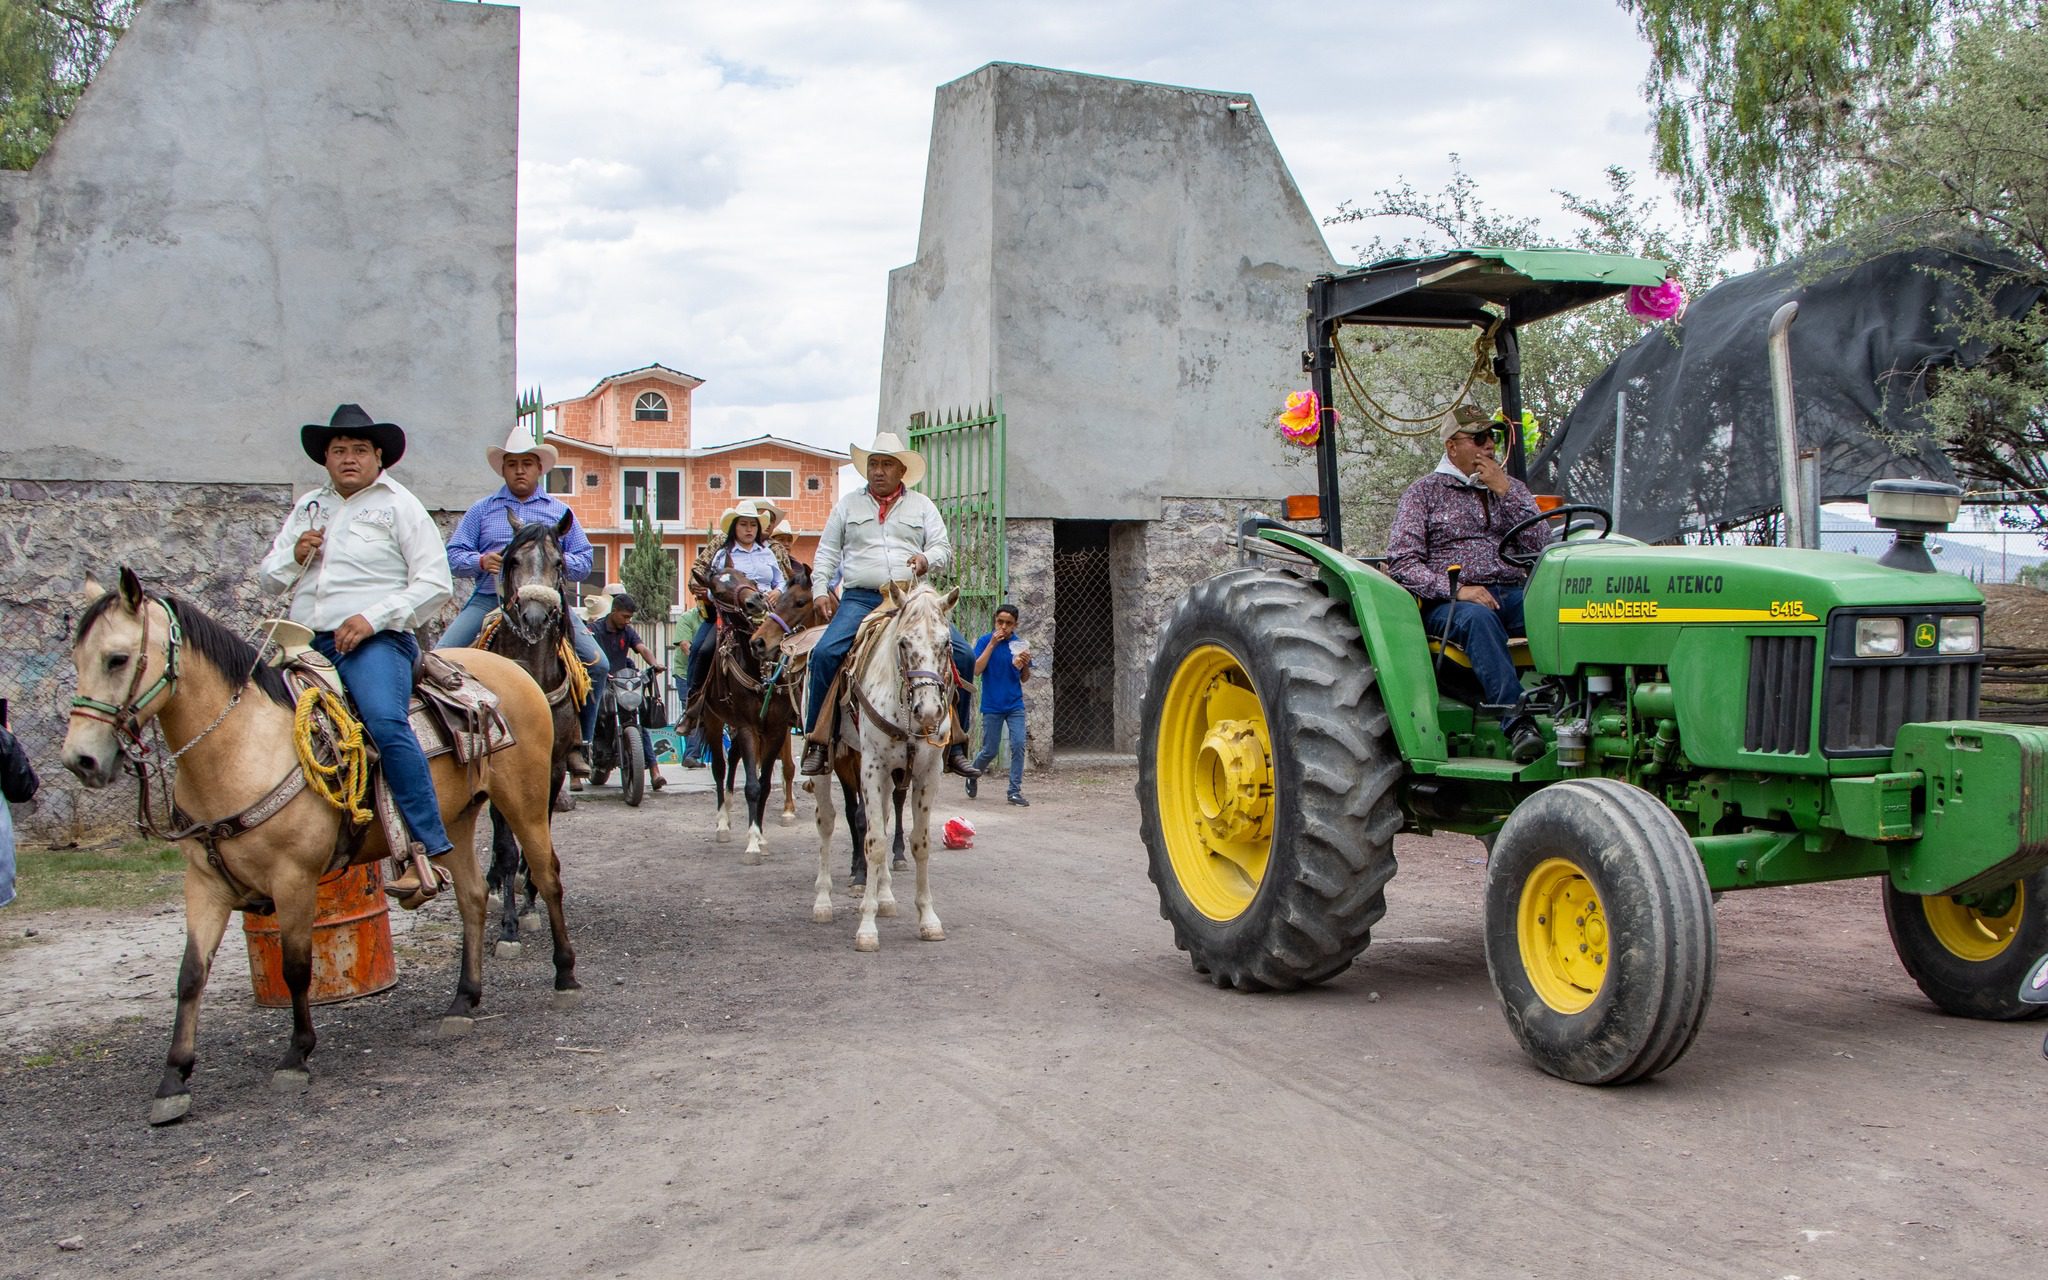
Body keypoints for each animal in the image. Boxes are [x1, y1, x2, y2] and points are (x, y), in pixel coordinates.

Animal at [61, 565, 577, 1122]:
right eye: (77, 658)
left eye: (117, 658)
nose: (81, 761)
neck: (242, 748)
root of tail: (512, 671)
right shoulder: (204, 883)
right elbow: (191, 973)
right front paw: (173, 1079)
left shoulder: (294, 877)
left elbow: (296, 966)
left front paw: (296, 1053)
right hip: (455, 819)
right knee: (473, 899)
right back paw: (463, 1000)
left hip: (525, 801)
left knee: (545, 876)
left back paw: (564, 976)